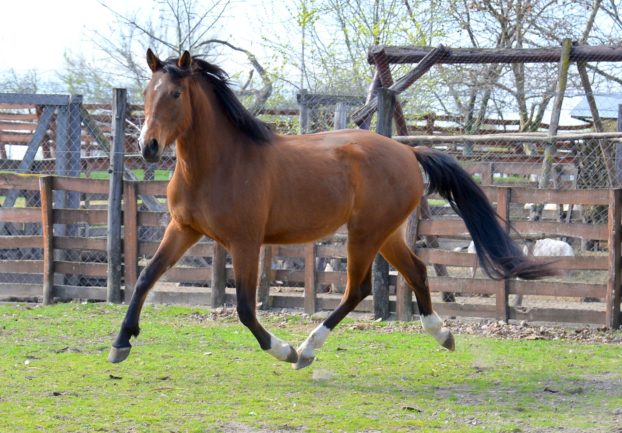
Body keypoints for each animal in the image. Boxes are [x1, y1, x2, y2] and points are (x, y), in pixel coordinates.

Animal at [108, 49, 556, 368]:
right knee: (416, 271)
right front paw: (120, 343)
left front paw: (283, 349)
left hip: (365, 234)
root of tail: (408, 153)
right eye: (146, 93)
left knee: (358, 289)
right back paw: (442, 334)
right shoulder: (183, 228)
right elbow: (145, 277)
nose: (148, 148)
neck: (218, 163)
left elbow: (245, 309)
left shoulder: (245, 242)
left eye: (176, 94)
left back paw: (306, 350)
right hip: (385, 233)